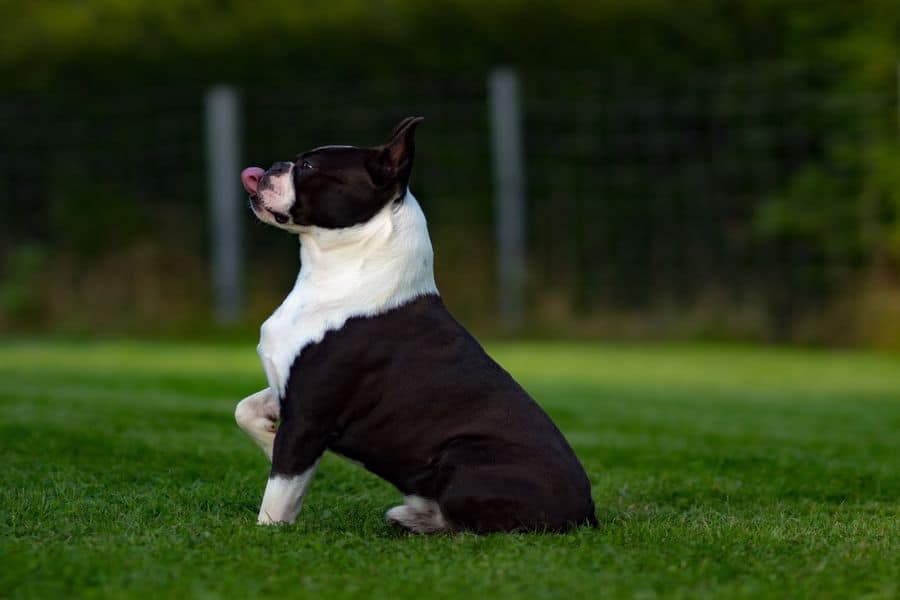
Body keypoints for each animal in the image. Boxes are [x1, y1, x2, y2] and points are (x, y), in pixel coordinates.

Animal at [236, 118, 596, 536]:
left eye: (308, 167)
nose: (272, 167)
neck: (341, 270)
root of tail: (587, 514)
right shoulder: (288, 390)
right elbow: (244, 409)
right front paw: (267, 441)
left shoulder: (308, 416)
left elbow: (280, 493)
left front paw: (266, 531)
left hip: (461, 454)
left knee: (473, 527)